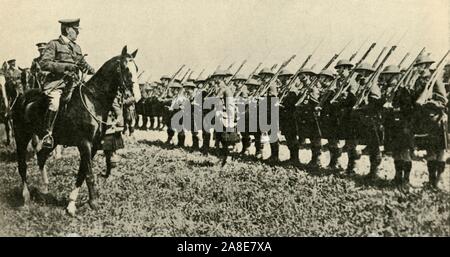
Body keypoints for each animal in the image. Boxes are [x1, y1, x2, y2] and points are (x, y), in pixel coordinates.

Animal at [12, 45, 139, 214]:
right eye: (125, 68)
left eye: (136, 68)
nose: (134, 97)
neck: (93, 101)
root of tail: (22, 97)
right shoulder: (84, 144)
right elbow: (89, 175)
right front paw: (93, 202)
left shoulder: (93, 146)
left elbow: (82, 173)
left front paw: (71, 203)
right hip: (21, 136)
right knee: (22, 165)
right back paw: (26, 197)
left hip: (52, 140)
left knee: (41, 156)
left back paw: (44, 188)